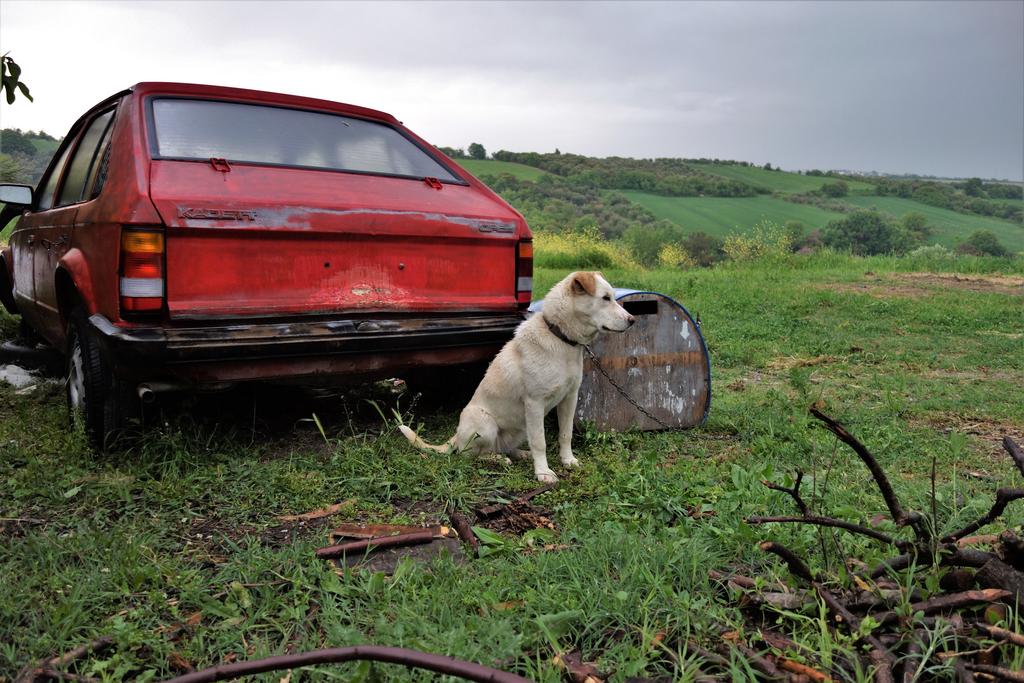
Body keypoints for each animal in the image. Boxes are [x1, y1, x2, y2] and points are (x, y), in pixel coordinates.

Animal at [397, 270, 630, 483]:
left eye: (612, 297)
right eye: (605, 298)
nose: (632, 320)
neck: (560, 339)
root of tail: (455, 437)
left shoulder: (569, 398)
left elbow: (566, 434)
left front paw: (567, 460)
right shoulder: (535, 403)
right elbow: (540, 442)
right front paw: (543, 472)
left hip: (521, 427)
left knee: (504, 448)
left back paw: (520, 455)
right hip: (485, 422)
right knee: (470, 455)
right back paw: (498, 460)